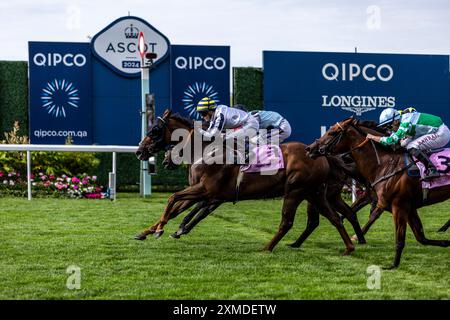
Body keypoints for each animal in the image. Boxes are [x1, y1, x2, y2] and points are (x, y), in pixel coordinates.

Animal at [134, 109, 366, 254]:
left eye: (155, 130)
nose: (139, 151)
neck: (207, 151)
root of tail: (319, 154)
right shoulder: (204, 191)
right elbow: (175, 208)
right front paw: (147, 231)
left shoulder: (207, 190)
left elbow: (173, 199)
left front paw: (162, 229)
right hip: (314, 192)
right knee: (334, 218)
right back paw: (349, 248)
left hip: (295, 190)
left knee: (287, 222)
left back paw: (266, 248)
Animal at [306, 117, 450, 268]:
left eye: (332, 132)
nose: (310, 148)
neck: (385, 164)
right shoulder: (405, 206)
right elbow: (421, 237)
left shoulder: (398, 205)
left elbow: (395, 235)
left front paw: (392, 266)